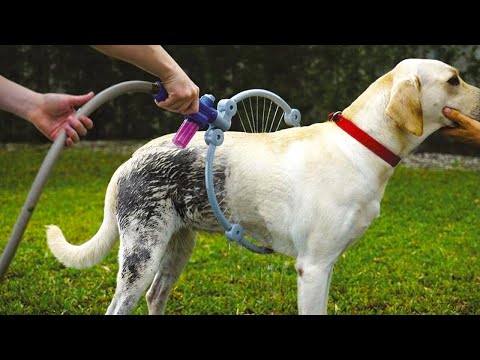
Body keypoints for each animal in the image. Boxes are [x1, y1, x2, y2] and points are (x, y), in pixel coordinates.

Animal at [45, 57, 480, 314]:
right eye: (454, 80)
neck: (360, 144)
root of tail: (130, 160)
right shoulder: (313, 267)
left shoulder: (328, 264)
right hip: (141, 254)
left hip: (178, 246)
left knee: (156, 295)